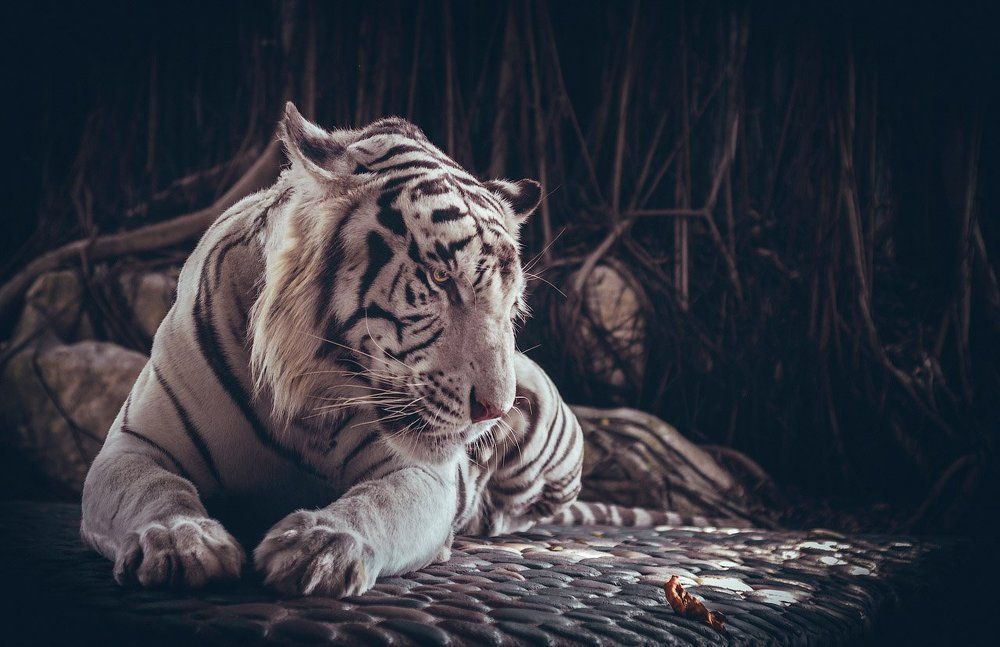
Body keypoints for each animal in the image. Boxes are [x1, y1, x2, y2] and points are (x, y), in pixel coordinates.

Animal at [80, 103, 587, 596]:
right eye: (441, 278)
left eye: (511, 305)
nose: (494, 412)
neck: (307, 397)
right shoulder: (133, 445)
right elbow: (153, 489)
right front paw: (179, 539)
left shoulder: (418, 472)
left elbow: (378, 504)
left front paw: (321, 547)